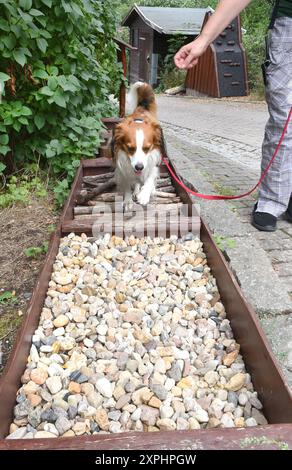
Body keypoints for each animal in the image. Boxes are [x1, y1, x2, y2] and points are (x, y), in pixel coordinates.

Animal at [113, 82, 162, 211]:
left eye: (147, 148)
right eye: (130, 148)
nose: (139, 167)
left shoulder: (153, 161)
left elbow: (150, 177)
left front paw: (144, 194)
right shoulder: (123, 167)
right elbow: (127, 183)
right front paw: (128, 200)